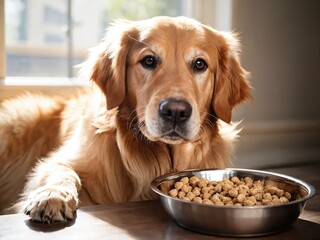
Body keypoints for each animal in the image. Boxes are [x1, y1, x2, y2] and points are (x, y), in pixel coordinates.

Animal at [0, 16, 250, 223]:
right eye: (148, 61)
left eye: (200, 64)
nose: (176, 112)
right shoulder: (59, 161)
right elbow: (61, 171)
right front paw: (53, 196)